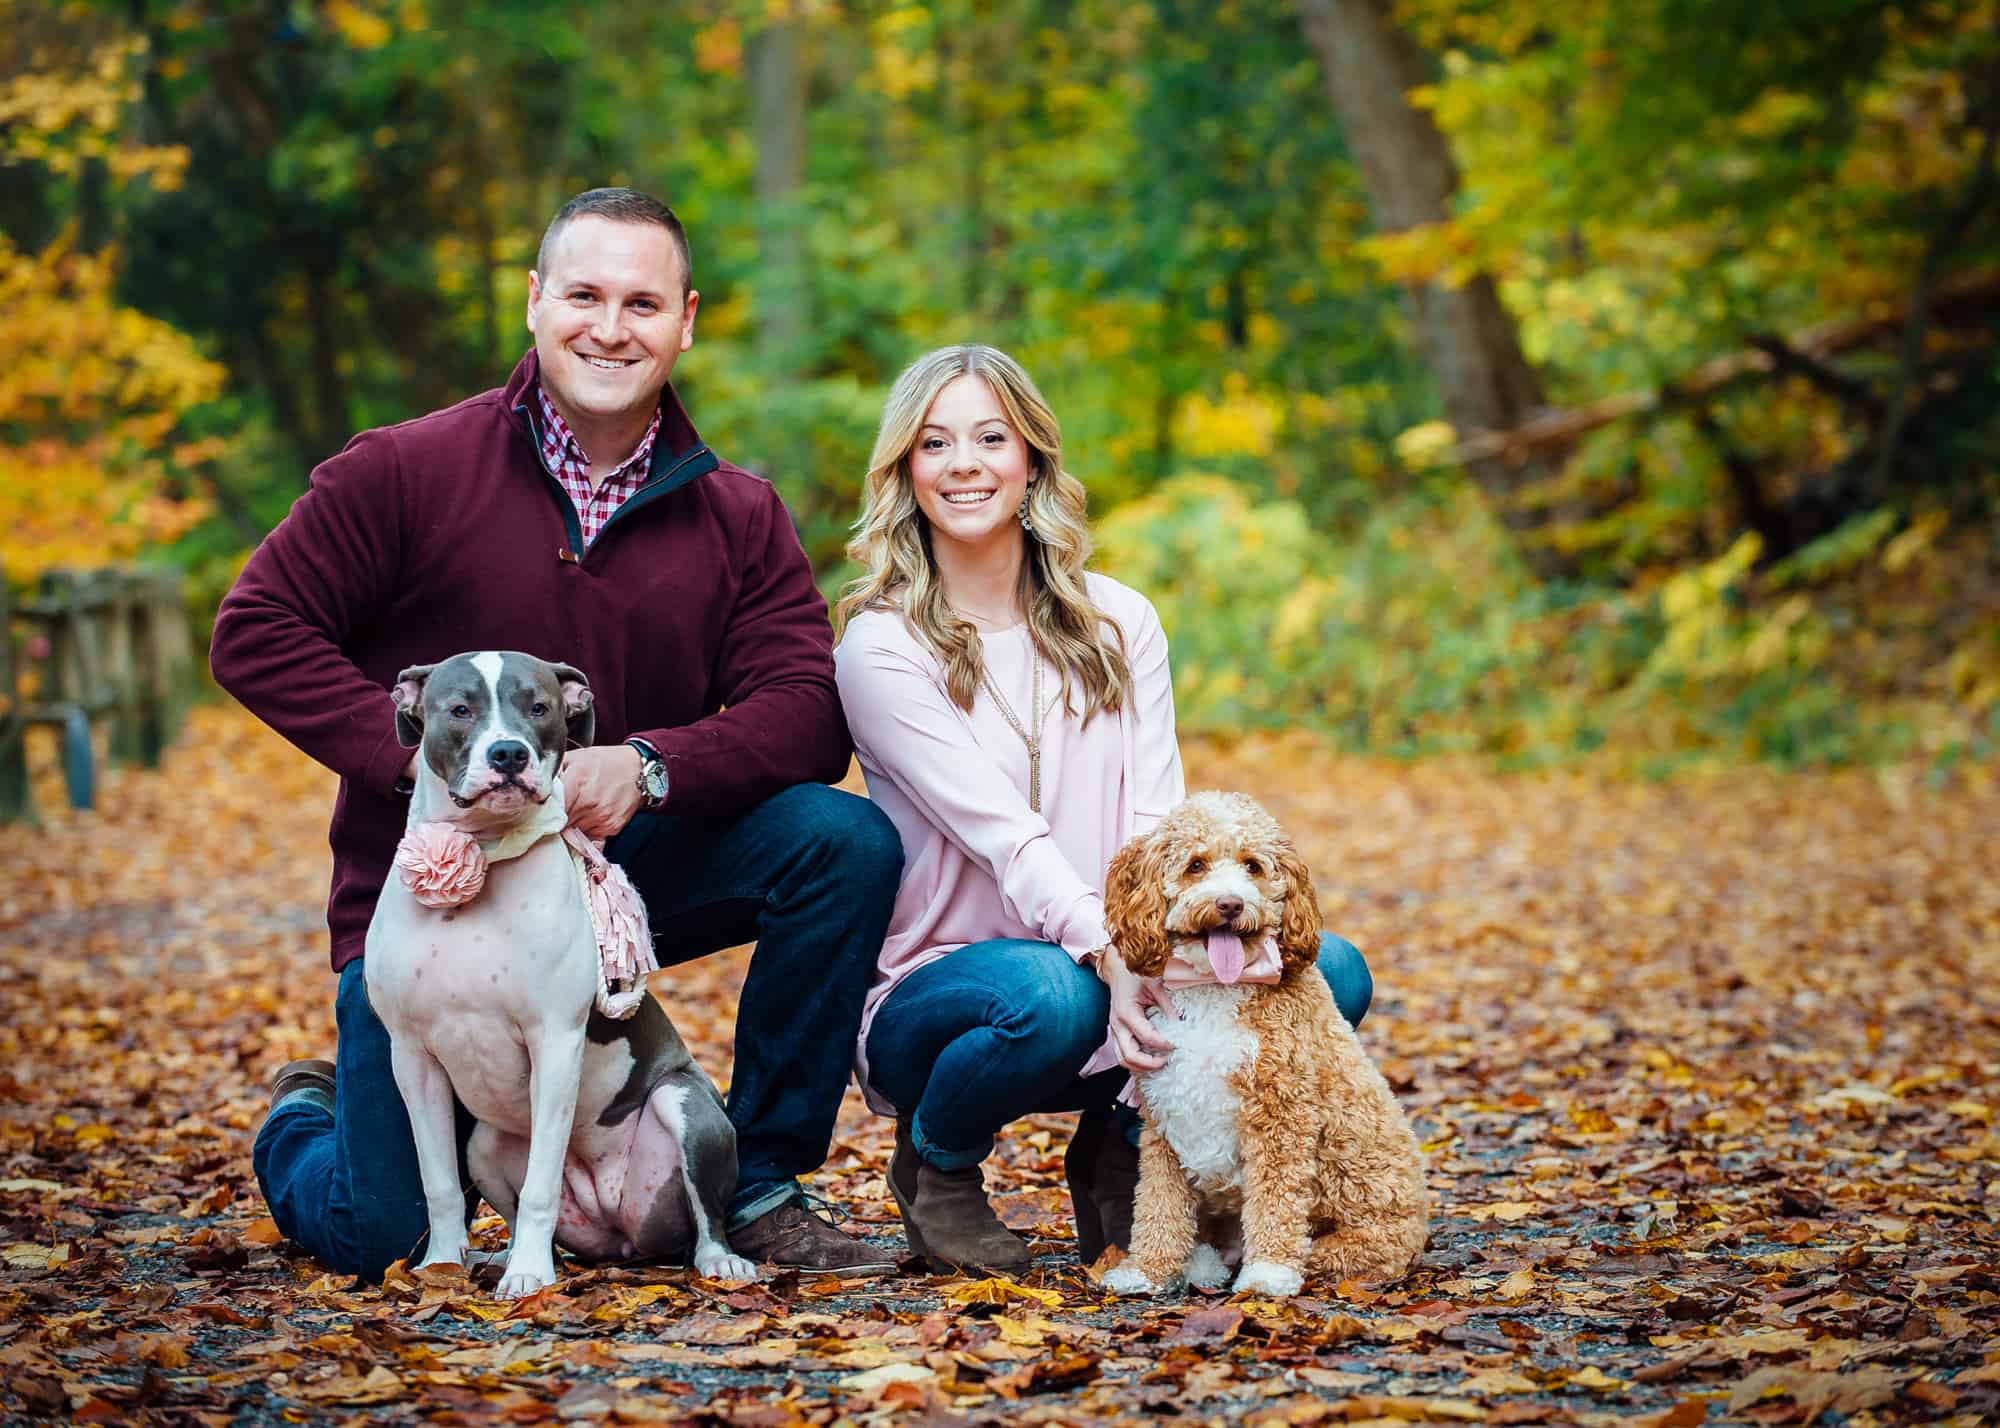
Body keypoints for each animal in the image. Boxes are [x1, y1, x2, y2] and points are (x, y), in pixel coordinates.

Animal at [360, 652, 752, 1296]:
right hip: (485, 1145)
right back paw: (502, 1255)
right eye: (460, 709)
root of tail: (616, 1227)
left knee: (705, 1215)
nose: (508, 754)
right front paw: (442, 1266)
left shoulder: (555, 1042)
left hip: (686, 1105)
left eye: (539, 707)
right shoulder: (412, 1057)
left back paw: (721, 1260)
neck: (483, 857)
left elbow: (542, 1179)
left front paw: (529, 1277)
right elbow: (437, 1181)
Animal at [1104, 784, 1432, 1296]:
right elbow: (1159, 1205)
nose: (1230, 904)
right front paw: (1148, 1270)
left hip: (1358, 1242)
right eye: (1195, 864)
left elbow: (1276, 1200)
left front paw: (1269, 1274)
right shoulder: (1163, 1121)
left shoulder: (1282, 1114)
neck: (1215, 987)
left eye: (1253, 866)